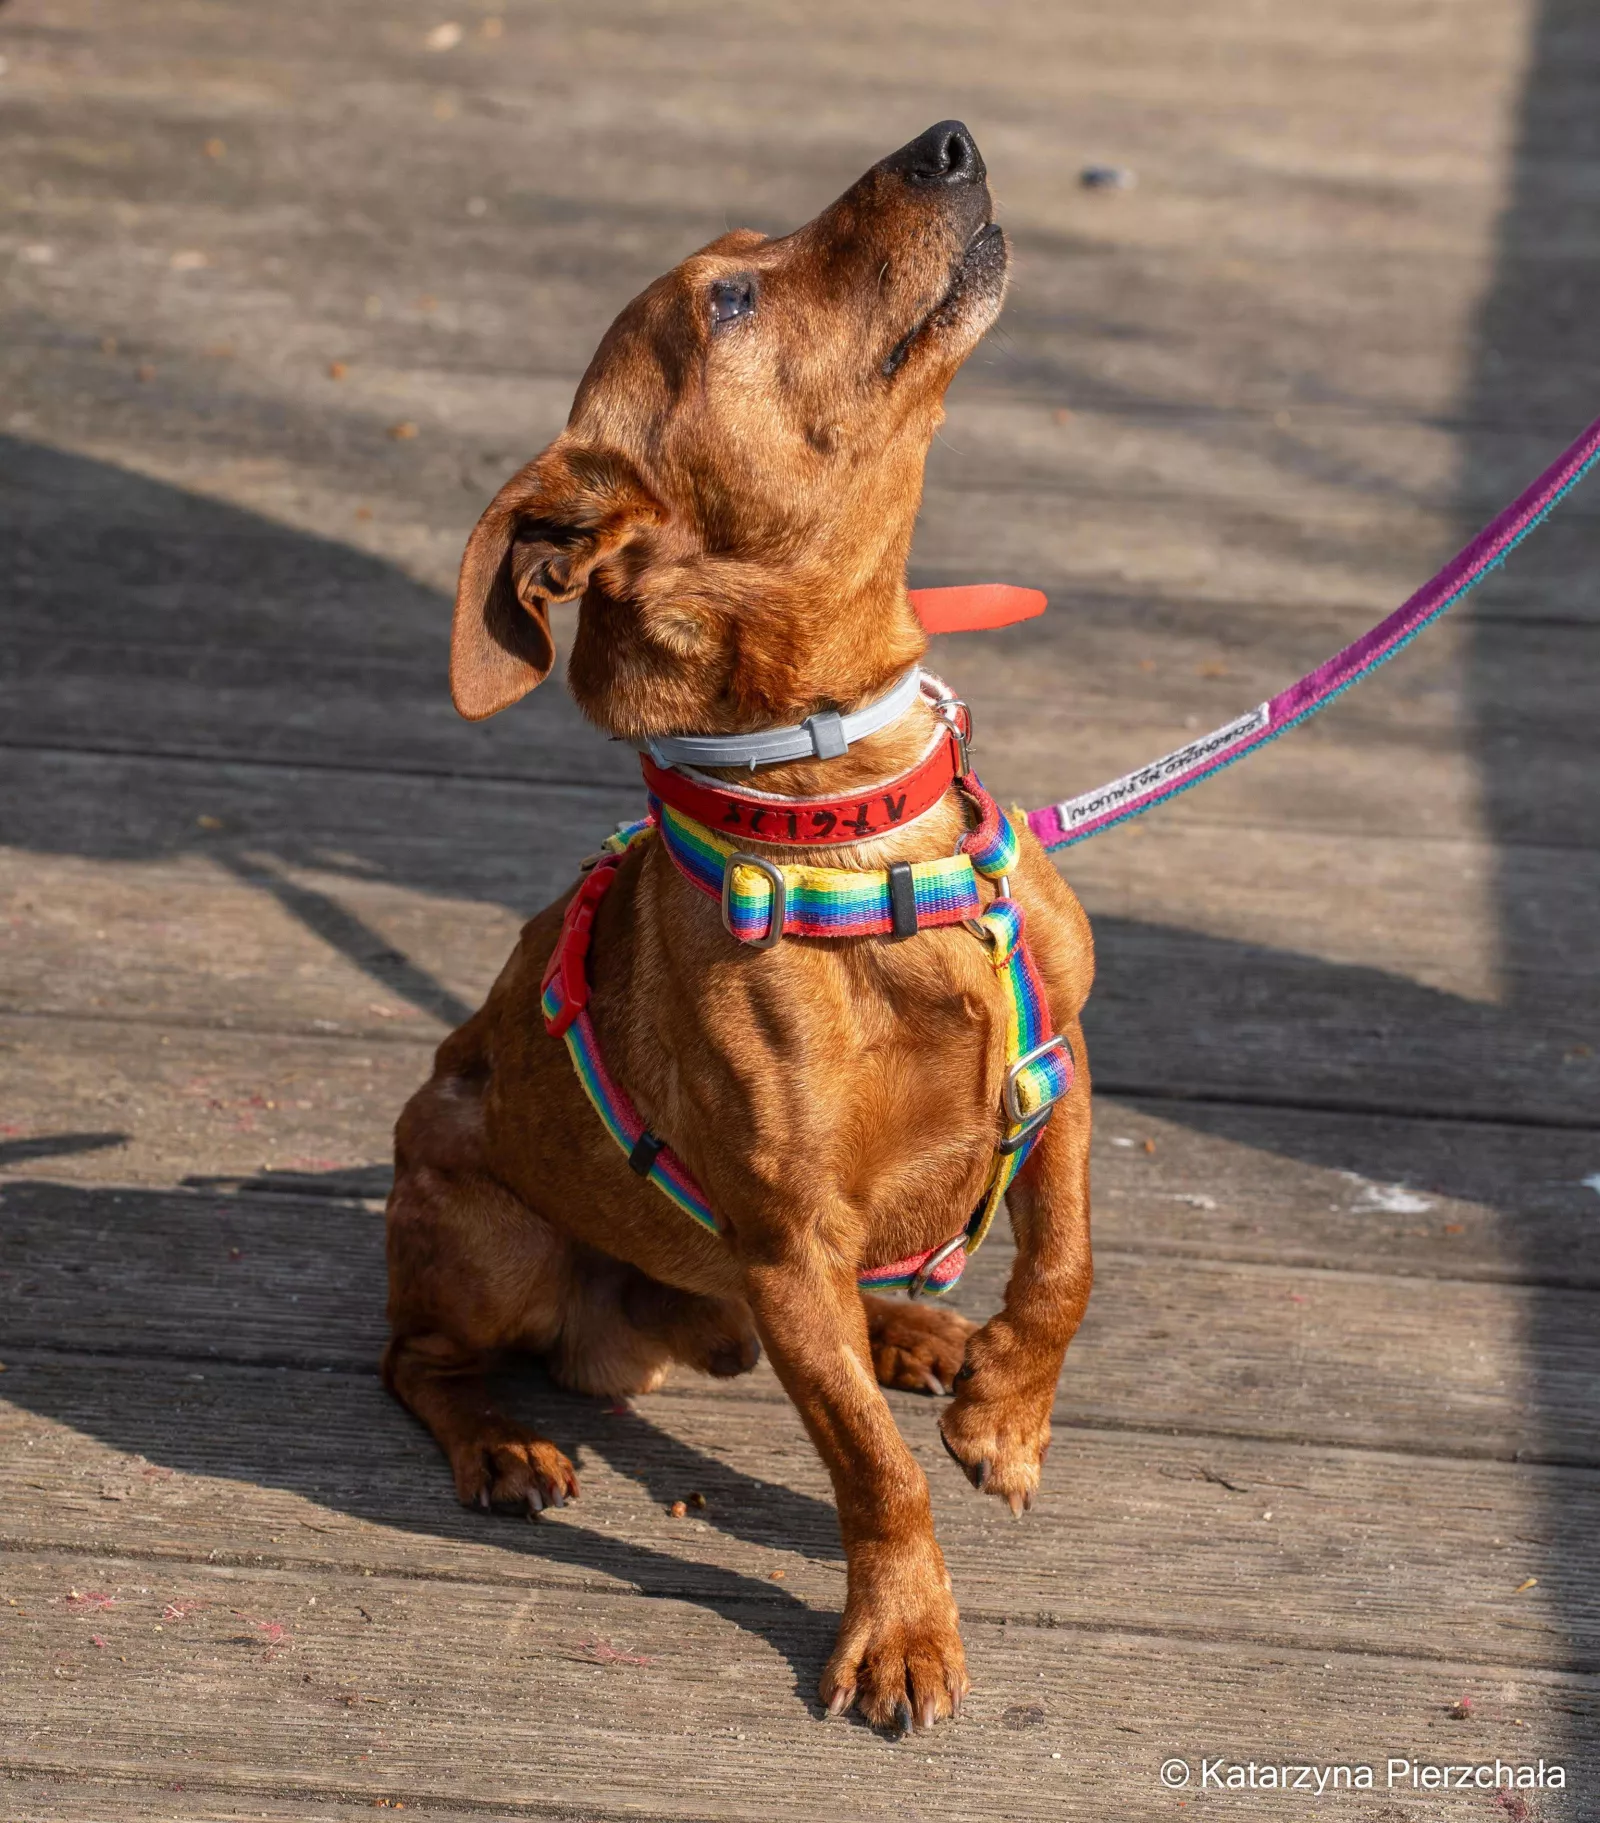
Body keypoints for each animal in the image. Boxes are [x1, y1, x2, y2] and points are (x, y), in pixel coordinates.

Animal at [383, 120, 1095, 1734]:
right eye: (728, 303)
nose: (950, 139)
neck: (852, 821)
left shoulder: (1066, 1073)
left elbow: (1063, 1265)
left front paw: (1006, 1413)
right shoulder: (784, 1243)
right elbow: (871, 1468)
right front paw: (901, 1629)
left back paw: (921, 1330)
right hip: (488, 1229)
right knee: (410, 1355)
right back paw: (501, 1444)